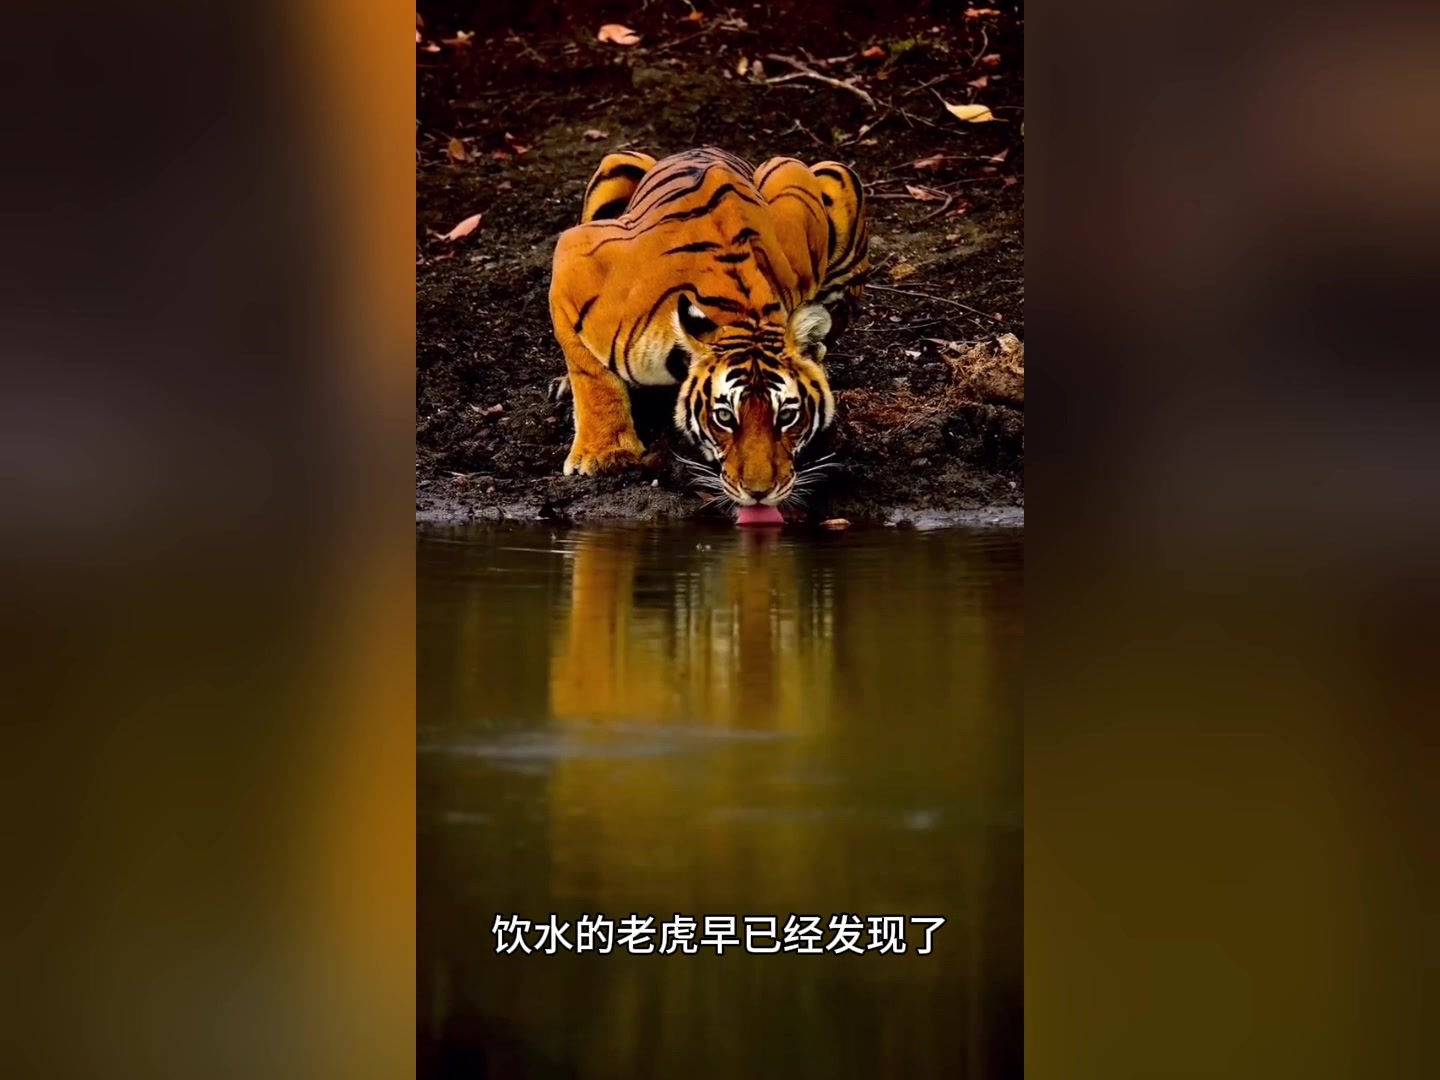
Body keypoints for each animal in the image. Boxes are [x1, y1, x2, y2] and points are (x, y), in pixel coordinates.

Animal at [547, 146, 869, 506]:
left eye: (788, 417)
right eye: (724, 417)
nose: (761, 492)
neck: (743, 317)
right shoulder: (574, 256)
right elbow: (591, 374)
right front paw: (605, 454)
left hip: (827, 172)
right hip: (616, 164)